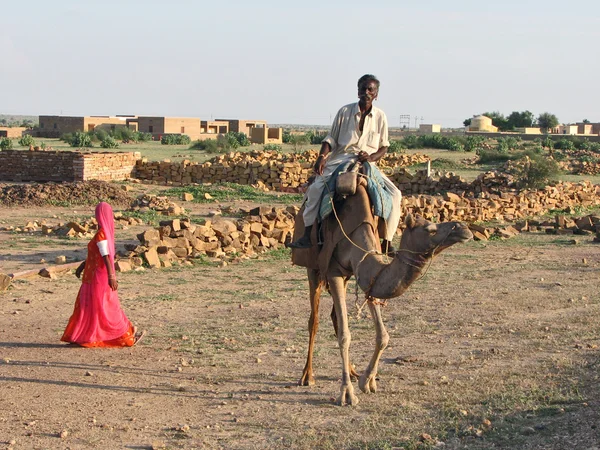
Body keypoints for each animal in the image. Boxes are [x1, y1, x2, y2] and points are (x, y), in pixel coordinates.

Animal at [290, 181, 474, 406]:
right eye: (430, 229)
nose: (465, 228)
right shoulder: (333, 272)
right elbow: (344, 335)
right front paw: (347, 393)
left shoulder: (369, 276)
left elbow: (383, 335)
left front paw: (367, 381)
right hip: (313, 269)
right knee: (314, 320)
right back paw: (307, 376)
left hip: (347, 277)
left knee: (334, 316)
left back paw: (353, 372)